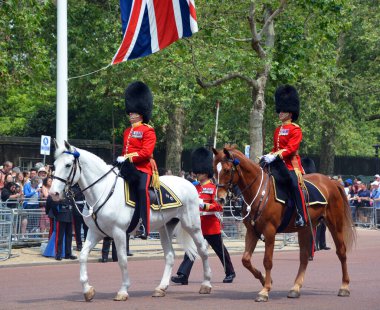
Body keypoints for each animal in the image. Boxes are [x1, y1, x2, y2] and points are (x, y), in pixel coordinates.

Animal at [49, 142, 212, 302]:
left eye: (68, 165)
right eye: (54, 165)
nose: (53, 194)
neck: (102, 191)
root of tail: (190, 183)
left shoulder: (119, 232)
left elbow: (122, 260)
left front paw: (123, 290)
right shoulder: (95, 232)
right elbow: (83, 256)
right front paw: (87, 290)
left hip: (192, 226)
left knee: (203, 250)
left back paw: (206, 284)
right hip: (164, 228)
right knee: (170, 255)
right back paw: (161, 288)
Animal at [212, 147, 354, 302]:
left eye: (227, 170)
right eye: (214, 171)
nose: (220, 199)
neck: (260, 192)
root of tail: (331, 182)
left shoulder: (269, 231)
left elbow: (267, 261)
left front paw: (265, 290)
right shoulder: (252, 231)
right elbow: (246, 260)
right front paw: (264, 279)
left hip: (335, 224)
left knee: (341, 252)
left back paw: (344, 286)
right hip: (305, 228)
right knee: (304, 256)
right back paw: (295, 288)